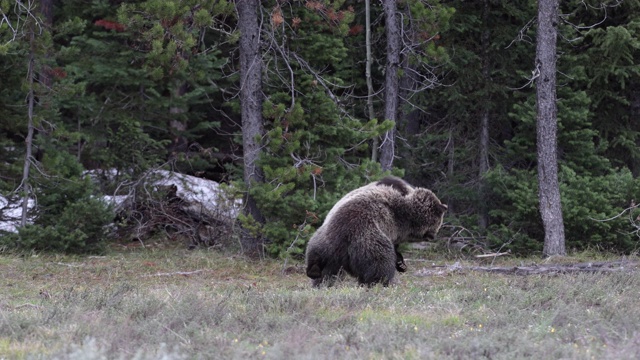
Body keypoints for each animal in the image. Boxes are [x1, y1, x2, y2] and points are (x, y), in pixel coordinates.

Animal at [304, 176, 444, 286]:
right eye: (438, 223)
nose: (433, 236)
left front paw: (401, 264)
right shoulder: (391, 224)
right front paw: (400, 265)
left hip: (322, 246)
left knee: (322, 271)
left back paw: (318, 279)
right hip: (367, 240)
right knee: (380, 265)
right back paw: (381, 283)